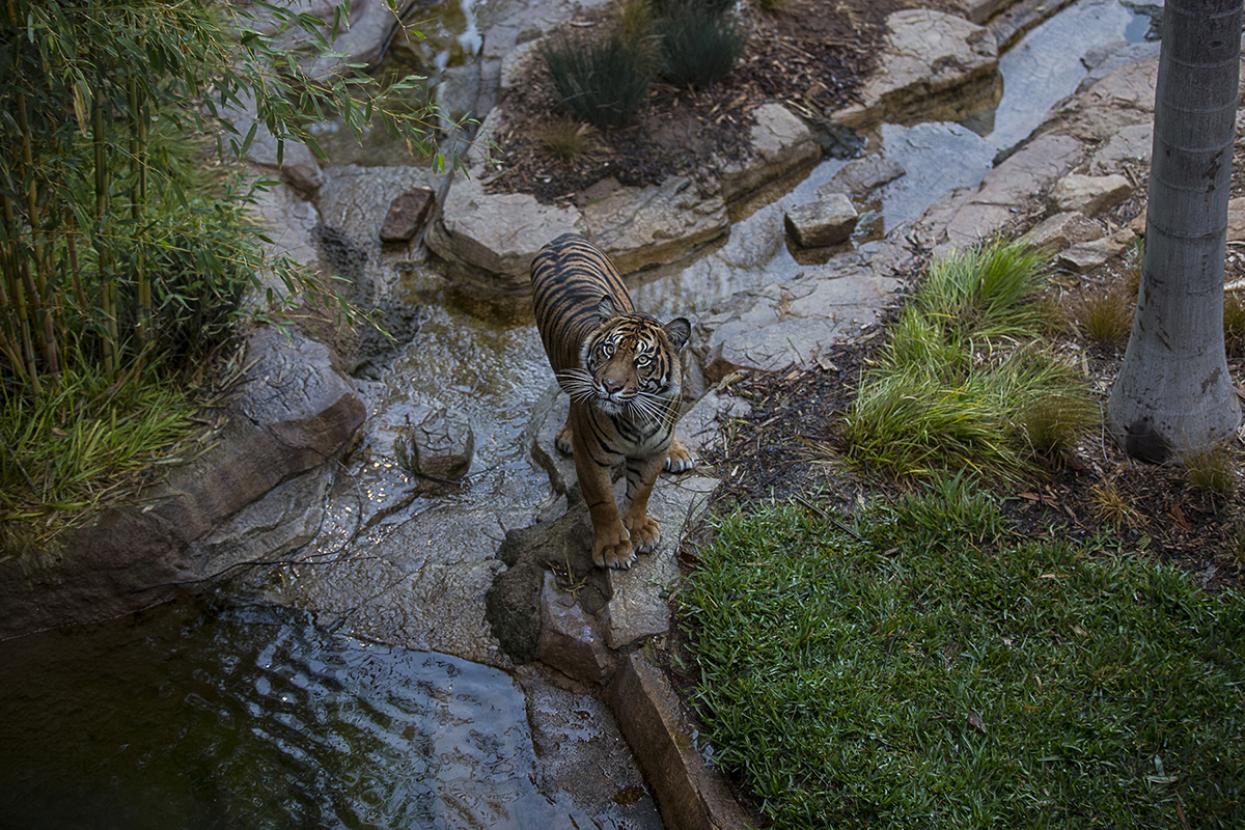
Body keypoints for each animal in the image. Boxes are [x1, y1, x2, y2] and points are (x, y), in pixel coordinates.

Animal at [531, 233, 696, 570]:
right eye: (608, 350)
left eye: (642, 360)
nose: (609, 386)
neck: (638, 416)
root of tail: (561, 237)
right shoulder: (592, 458)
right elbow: (603, 501)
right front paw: (613, 548)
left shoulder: (652, 450)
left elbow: (642, 489)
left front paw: (640, 529)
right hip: (560, 366)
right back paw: (567, 435)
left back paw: (678, 451)